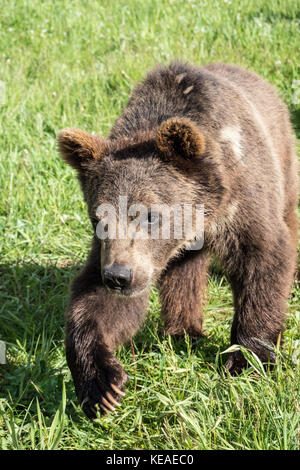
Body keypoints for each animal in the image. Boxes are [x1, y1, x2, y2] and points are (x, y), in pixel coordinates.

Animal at [58, 62, 298, 418]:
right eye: (97, 219)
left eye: (149, 215)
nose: (118, 277)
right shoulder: (119, 254)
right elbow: (98, 304)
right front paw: (102, 386)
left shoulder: (243, 201)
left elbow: (262, 259)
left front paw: (247, 359)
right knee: (184, 274)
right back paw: (183, 333)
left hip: (283, 158)